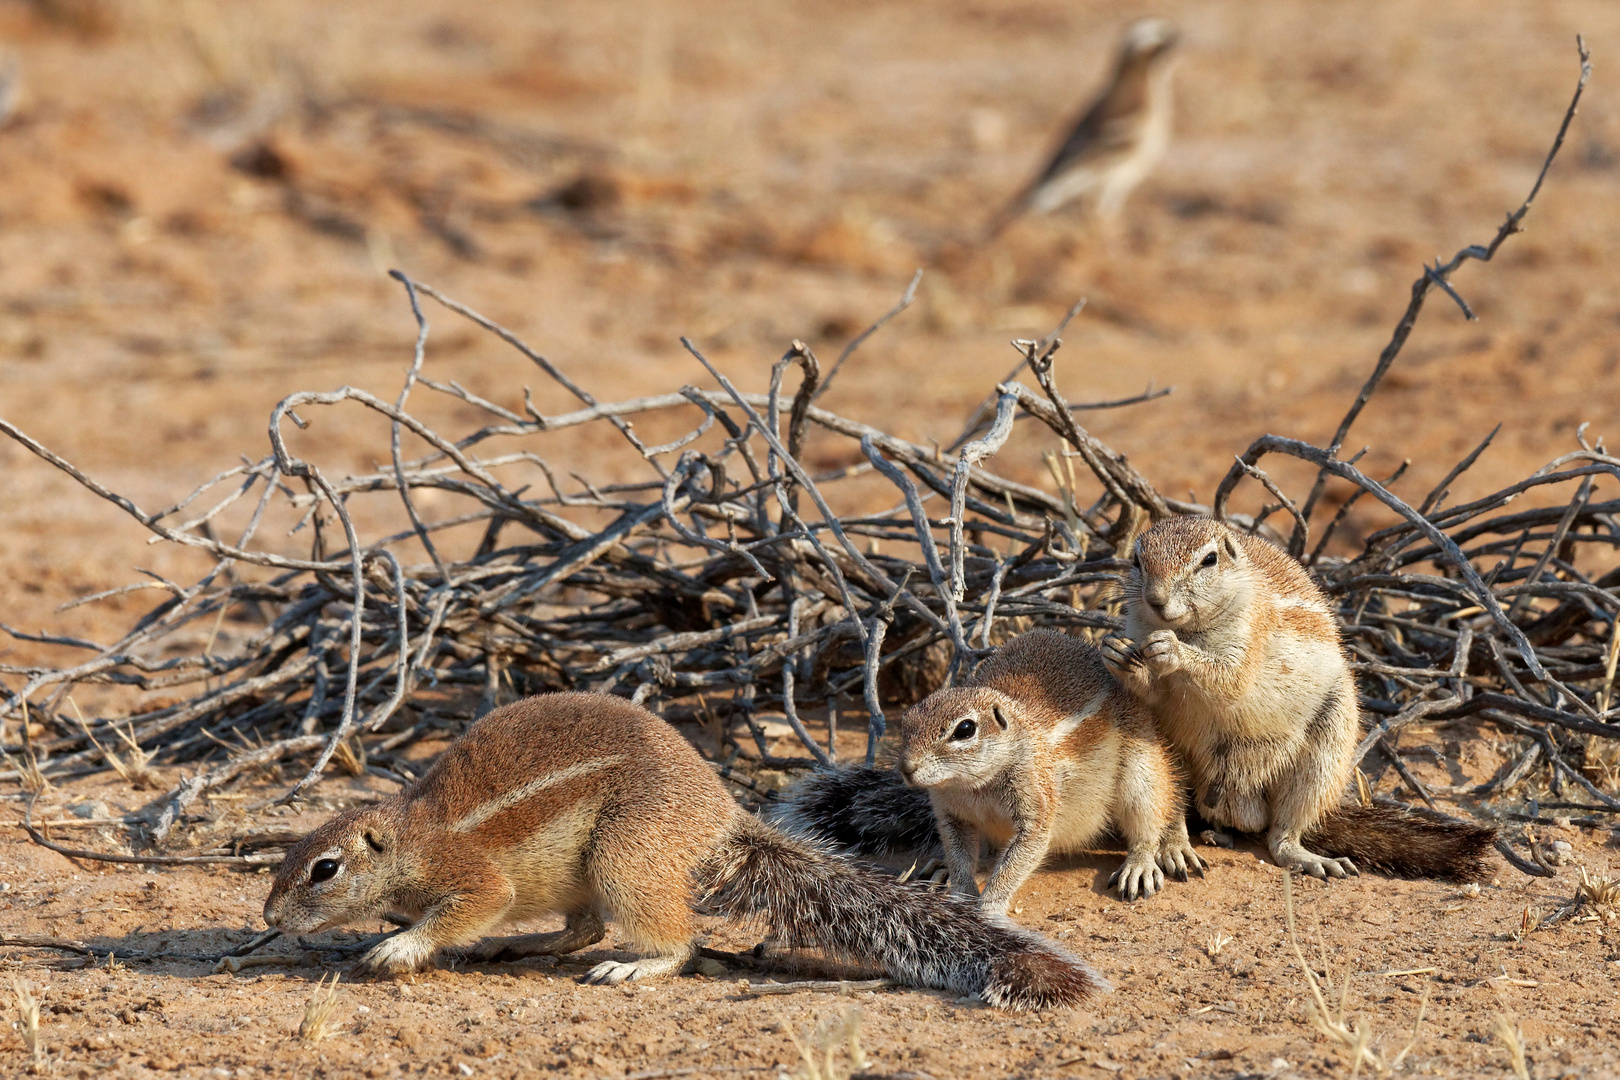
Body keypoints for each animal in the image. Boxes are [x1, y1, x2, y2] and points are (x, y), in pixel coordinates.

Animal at [265, 693, 1108, 1016]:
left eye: (324, 869)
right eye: (285, 861)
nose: (268, 917)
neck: (410, 838)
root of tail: (720, 817)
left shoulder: (470, 876)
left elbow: (472, 904)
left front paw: (399, 946)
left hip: (624, 856)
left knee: (676, 941)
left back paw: (632, 966)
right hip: (590, 873)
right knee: (580, 927)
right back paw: (522, 945)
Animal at [771, 628, 1205, 919]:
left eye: (965, 729)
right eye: (906, 720)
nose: (907, 768)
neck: (974, 786)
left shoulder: (1035, 803)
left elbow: (1019, 859)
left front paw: (989, 907)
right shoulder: (951, 815)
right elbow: (962, 853)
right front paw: (960, 889)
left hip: (1140, 768)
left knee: (1148, 817)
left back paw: (1140, 864)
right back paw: (942, 867)